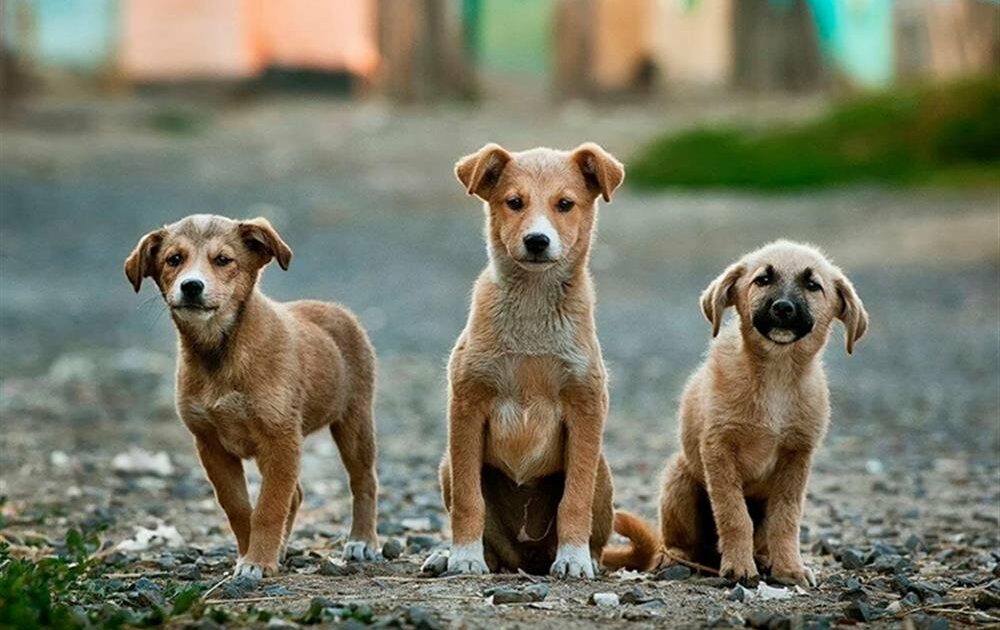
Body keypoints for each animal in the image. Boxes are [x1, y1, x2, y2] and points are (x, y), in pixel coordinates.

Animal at [122, 216, 378, 576]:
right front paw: (250, 554)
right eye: (174, 259)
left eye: (223, 260)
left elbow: (269, 507)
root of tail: (335, 309)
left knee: (364, 481)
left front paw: (258, 561)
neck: (220, 353)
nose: (191, 286)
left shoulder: (280, 438)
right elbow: (239, 507)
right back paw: (281, 550)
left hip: (354, 422)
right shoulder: (211, 444)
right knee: (296, 494)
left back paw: (362, 541)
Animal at [430, 143, 624, 576]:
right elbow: (469, 500)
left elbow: (575, 499)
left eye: (565, 204)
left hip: (603, 471)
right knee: (491, 539)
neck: (533, 308)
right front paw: (464, 557)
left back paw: (586, 558)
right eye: (514, 202)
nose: (537, 241)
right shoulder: (466, 405)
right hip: (447, 465)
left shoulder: (586, 407)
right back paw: (451, 556)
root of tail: (527, 558)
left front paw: (573, 559)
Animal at [604, 241, 872, 588]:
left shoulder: (797, 456)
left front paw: (789, 568)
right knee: (677, 542)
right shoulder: (719, 449)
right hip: (680, 477)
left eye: (813, 285)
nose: (783, 308)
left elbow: (786, 519)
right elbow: (734, 515)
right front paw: (739, 567)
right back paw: (676, 558)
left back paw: (764, 558)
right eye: (763, 279)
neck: (776, 375)